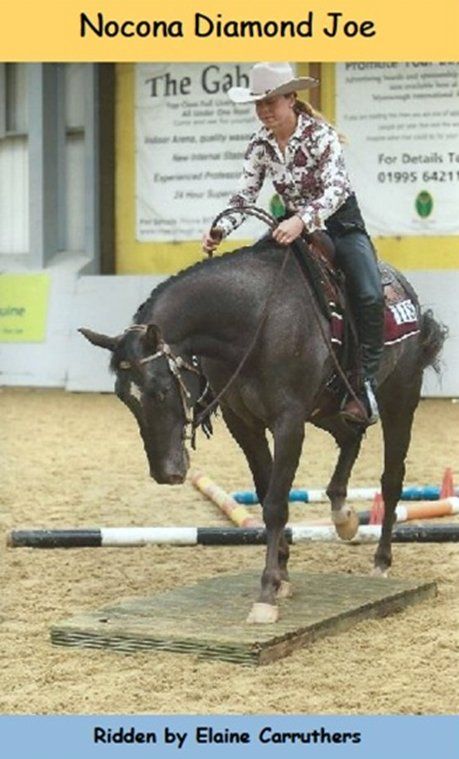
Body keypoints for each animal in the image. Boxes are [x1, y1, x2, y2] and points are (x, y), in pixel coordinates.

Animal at [80, 238, 446, 624]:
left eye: (161, 390)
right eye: (125, 397)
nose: (167, 473)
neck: (255, 321)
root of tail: (404, 288)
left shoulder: (288, 422)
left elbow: (274, 504)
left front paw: (267, 594)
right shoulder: (243, 422)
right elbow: (266, 488)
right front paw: (283, 574)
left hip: (399, 397)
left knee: (391, 479)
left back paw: (381, 561)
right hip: (326, 407)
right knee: (349, 438)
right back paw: (343, 516)